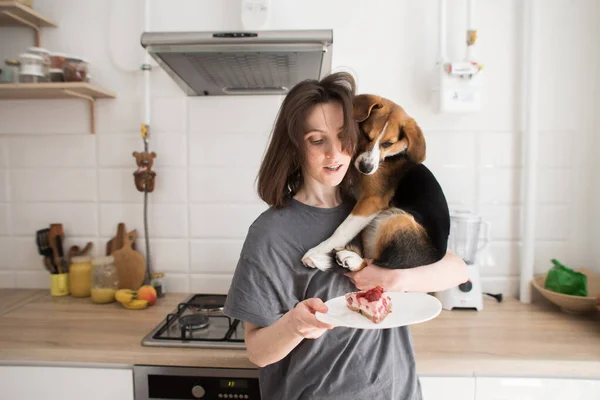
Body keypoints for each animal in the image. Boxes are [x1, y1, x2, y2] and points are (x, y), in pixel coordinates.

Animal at [300, 94, 450, 272]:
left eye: (388, 144)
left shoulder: (372, 200)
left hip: (398, 220)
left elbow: (342, 230)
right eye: (366, 135)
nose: (366, 168)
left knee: (372, 264)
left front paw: (318, 250)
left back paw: (350, 259)